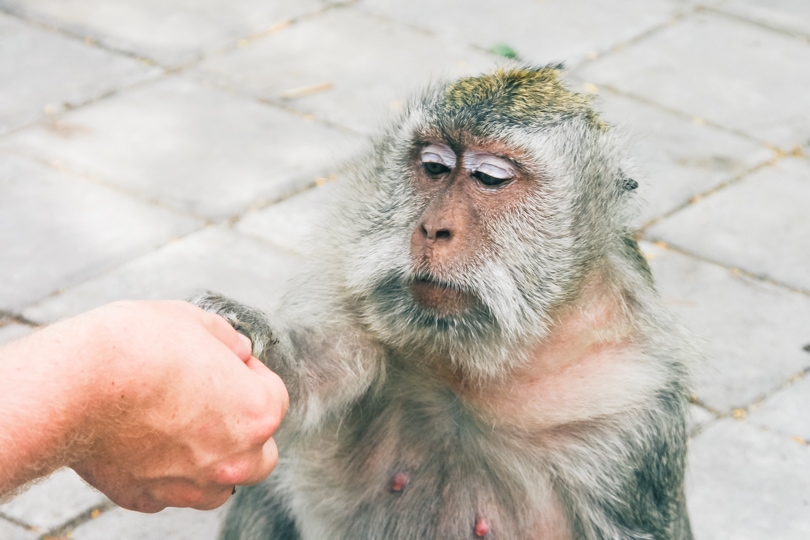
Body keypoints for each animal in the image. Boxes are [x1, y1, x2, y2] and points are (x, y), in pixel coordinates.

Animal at [196, 64, 696, 540]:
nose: (433, 228)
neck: (476, 359)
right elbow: (305, 385)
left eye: (490, 177)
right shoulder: (357, 301)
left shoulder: (633, 404)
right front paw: (243, 331)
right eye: (434, 166)